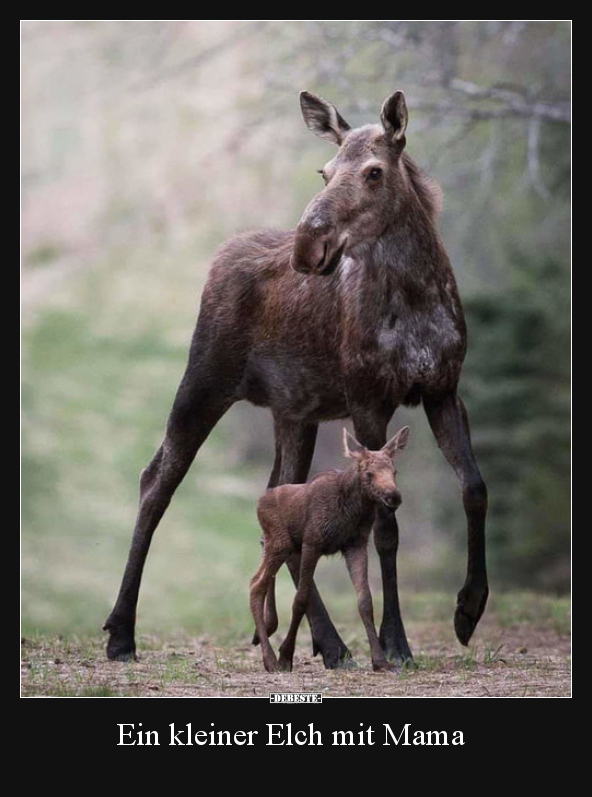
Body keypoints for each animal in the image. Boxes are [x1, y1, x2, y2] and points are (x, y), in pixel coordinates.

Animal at [249, 426, 408, 668]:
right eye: (368, 473)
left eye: (394, 471)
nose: (393, 496)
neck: (351, 512)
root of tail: (259, 504)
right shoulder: (312, 543)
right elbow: (300, 599)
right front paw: (286, 655)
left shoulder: (356, 544)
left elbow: (365, 600)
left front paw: (381, 662)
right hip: (280, 543)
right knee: (256, 586)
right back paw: (270, 660)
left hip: (281, 546)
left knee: (256, 580)